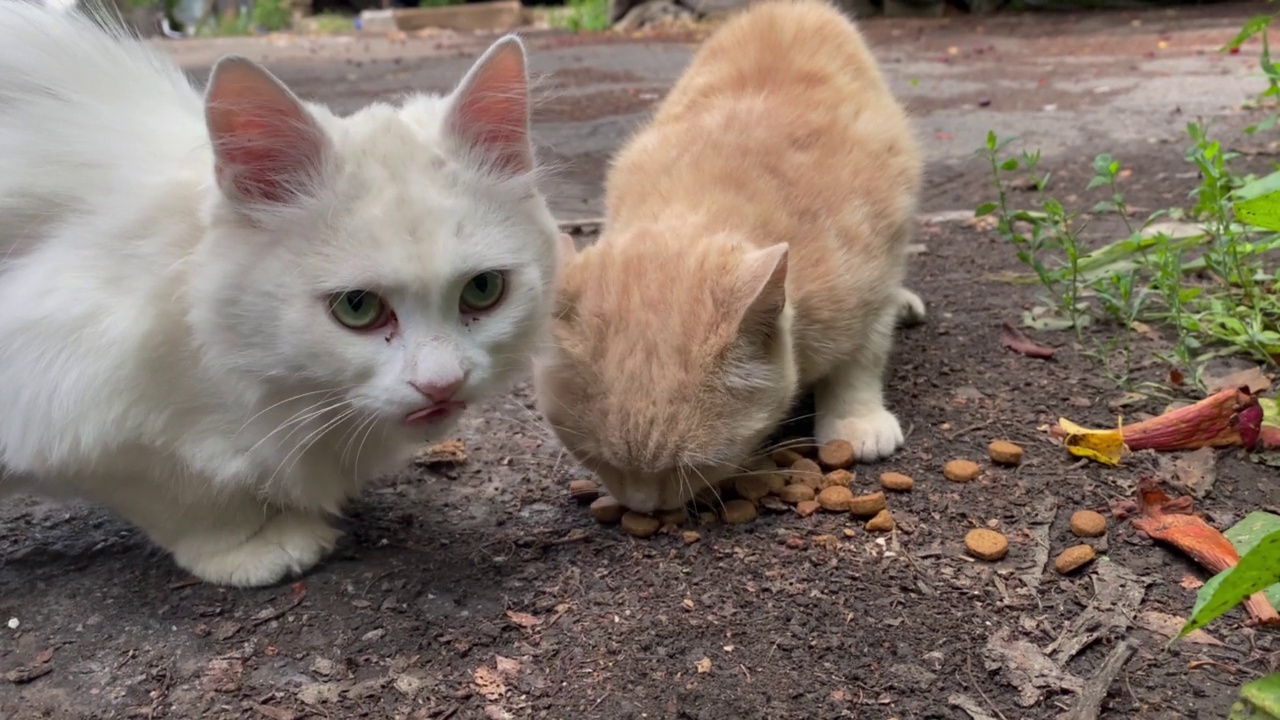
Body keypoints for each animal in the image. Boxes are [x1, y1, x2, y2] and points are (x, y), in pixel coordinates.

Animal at [0, 5, 565, 586]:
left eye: (483, 290)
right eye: (356, 307)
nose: (441, 384)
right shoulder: (60, 385)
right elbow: (187, 494)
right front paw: (256, 544)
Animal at [535, 0, 926, 509]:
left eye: (691, 468)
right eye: (594, 458)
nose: (642, 508)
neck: (699, 201)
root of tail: (789, 8)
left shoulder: (868, 269)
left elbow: (861, 356)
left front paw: (854, 418)